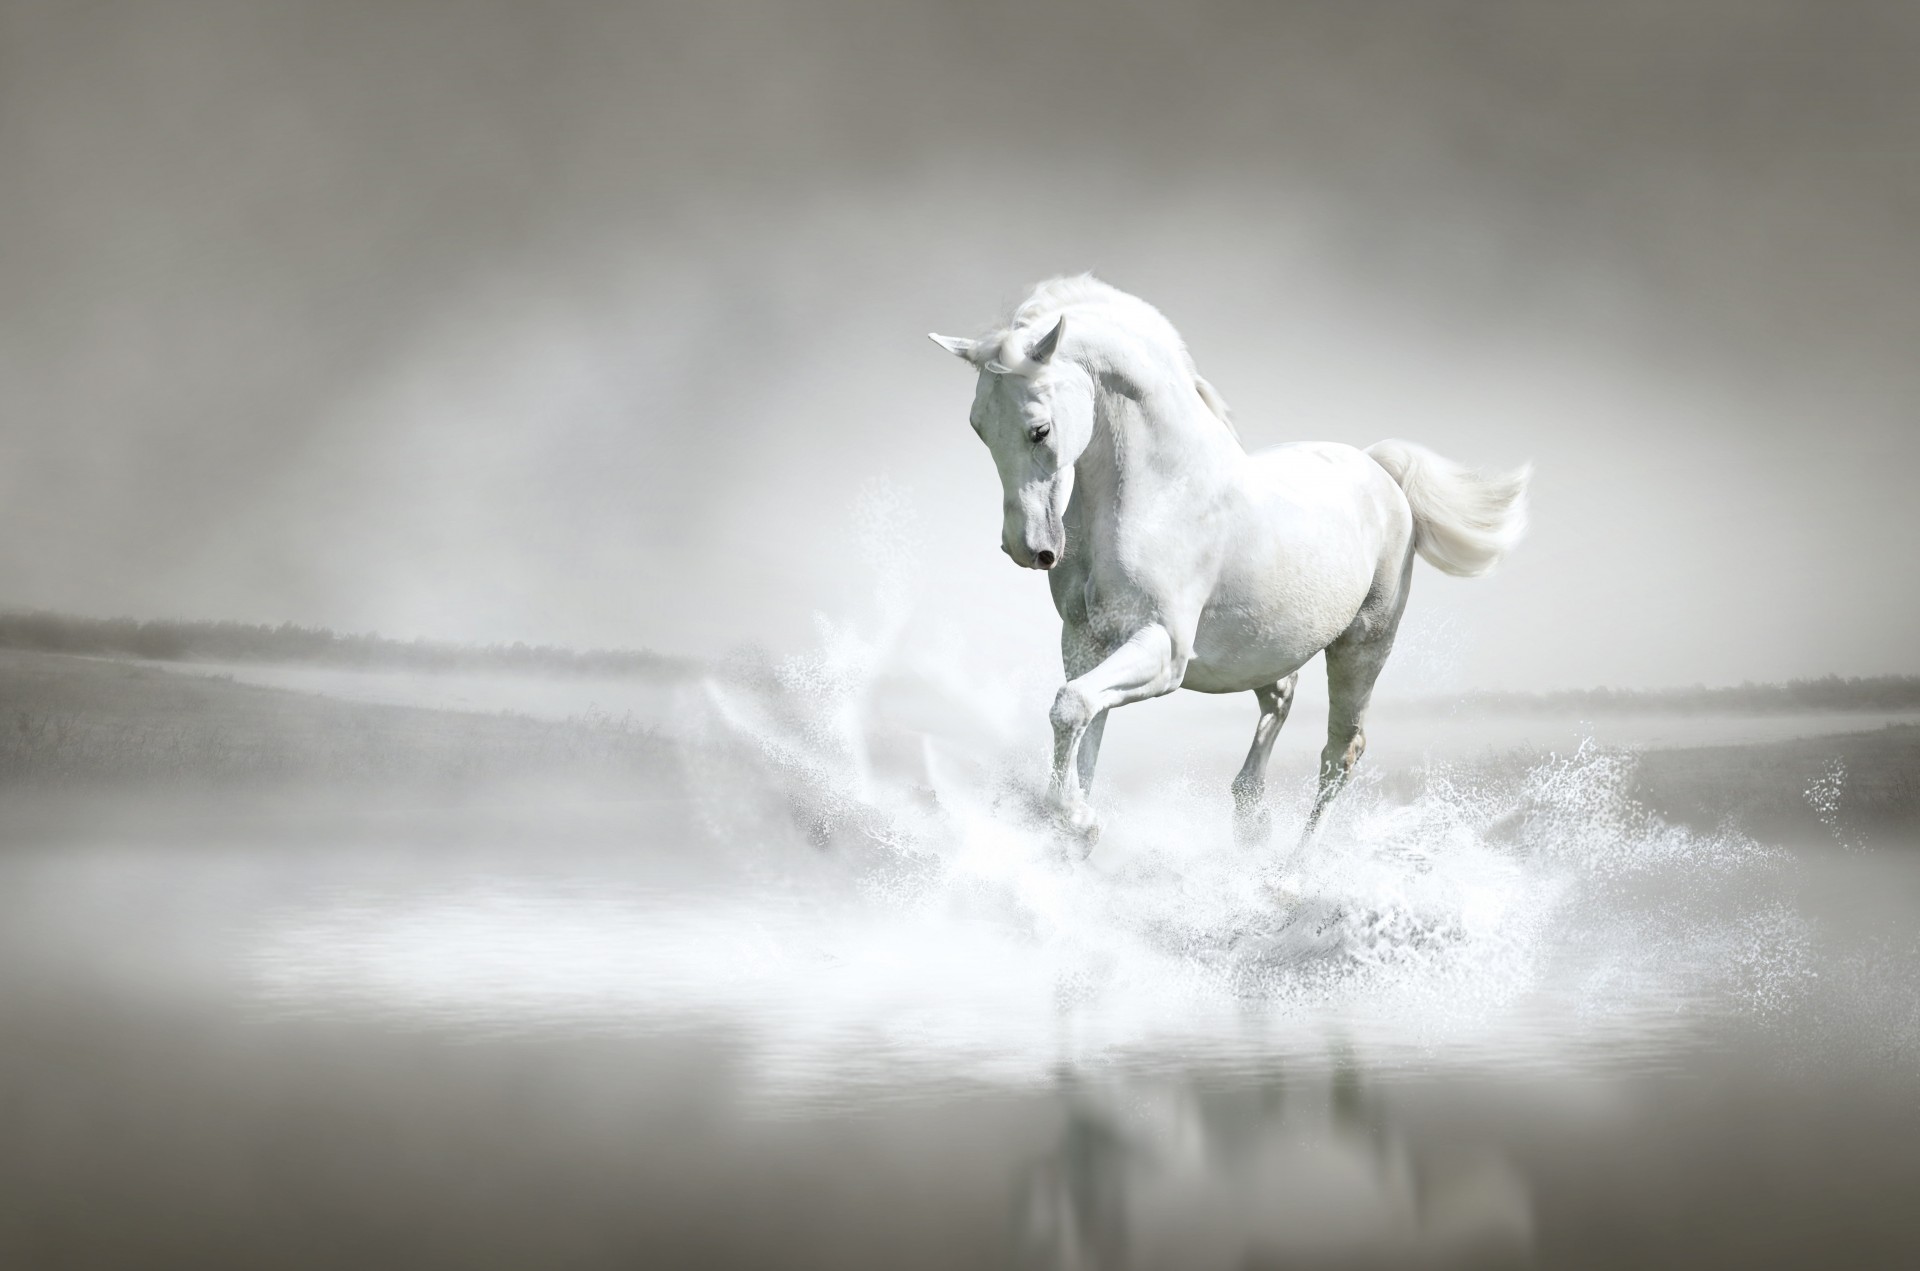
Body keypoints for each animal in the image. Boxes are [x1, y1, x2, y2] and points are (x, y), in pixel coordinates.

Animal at [929, 275, 1529, 847]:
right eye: (978, 427)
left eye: (1040, 429)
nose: (1027, 548)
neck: (1160, 492)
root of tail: (1379, 469)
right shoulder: (1085, 642)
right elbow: (1083, 728)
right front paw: (1072, 829)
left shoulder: (1163, 649)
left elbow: (1072, 707)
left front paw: (1078, 823)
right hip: (1266, 646)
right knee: (1281, 700)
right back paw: (1251, 820)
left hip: (1363, 645)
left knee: (1340, 752)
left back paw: (1294, 866)